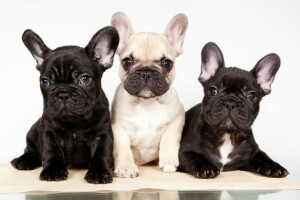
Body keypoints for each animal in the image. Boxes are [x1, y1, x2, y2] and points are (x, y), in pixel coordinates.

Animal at [11, 27, 119, 184]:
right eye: (45, 81)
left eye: (85, 79)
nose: (63, 93)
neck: (74, 121)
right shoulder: (48, 132)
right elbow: (51, 151)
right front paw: (53, 170)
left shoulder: (103, 134)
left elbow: (101, 153)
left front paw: (99, 172)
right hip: (33, 131)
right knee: (31, 150)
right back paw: (24, 160)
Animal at [110, 12, 188, 178]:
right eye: (127, 61)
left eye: (167, 63)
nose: (146, 72)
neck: (146, 102)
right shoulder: (119, 128)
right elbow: (122, 149)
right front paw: (126, 167)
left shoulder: (176, 119)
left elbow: (169, 139)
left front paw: (168, 162)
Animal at [178, 41, 288, 178]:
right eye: (212, 90)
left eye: (252, 96)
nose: (230, 103)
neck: (227, 134)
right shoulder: (182, 152)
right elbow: (193, 157)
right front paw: (206, 167)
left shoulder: (253, 153)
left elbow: (263, 156)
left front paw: (274, 167)